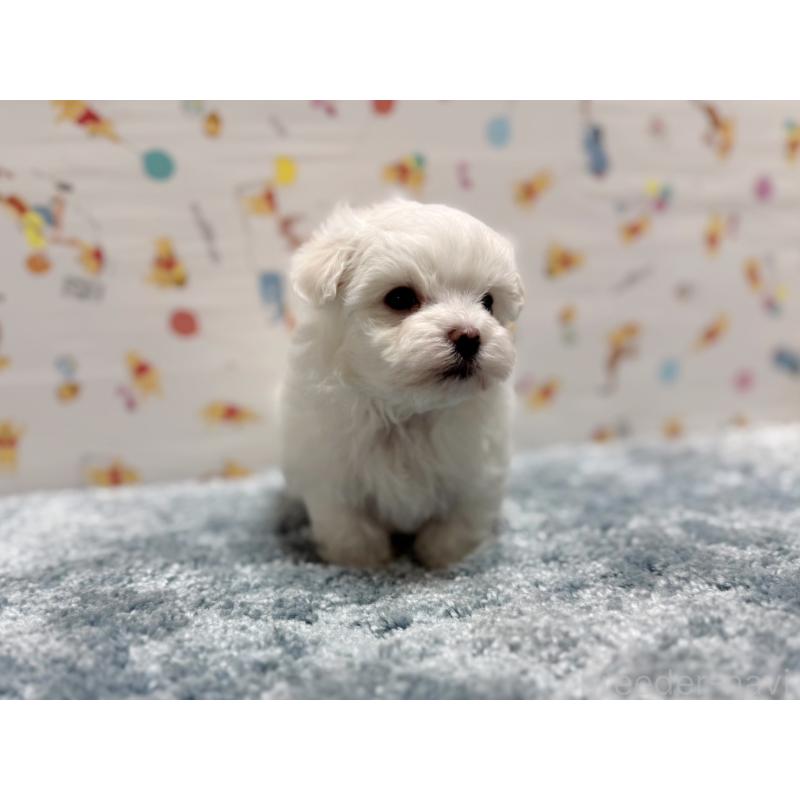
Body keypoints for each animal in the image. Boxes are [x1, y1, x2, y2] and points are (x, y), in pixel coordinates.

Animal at [280, 199, 524, 568]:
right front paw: (363, 561)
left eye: (488, 302)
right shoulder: (330, 472)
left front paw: (440, 557)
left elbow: (459, 522)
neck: (407, 411)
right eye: (399, 298)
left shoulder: (477, 472)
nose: (469, 337)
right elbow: (349, 526)